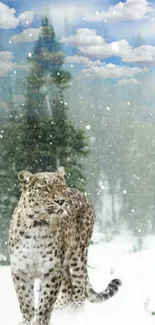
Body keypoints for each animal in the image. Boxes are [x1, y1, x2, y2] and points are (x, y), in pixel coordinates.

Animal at [8, 167, 121, 324]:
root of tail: (81, 194)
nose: (61, 201)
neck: (37, 225)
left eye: (61, 187)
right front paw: (26, 320)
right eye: (45, 188)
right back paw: (60, 310)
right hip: (65, 264)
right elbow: (25, 300)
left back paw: (76, 314)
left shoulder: (52, 269)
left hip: (78, 254)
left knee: (79, 286)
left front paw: (39, 320)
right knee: (68, 289)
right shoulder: (20, 269)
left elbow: (46, 301)